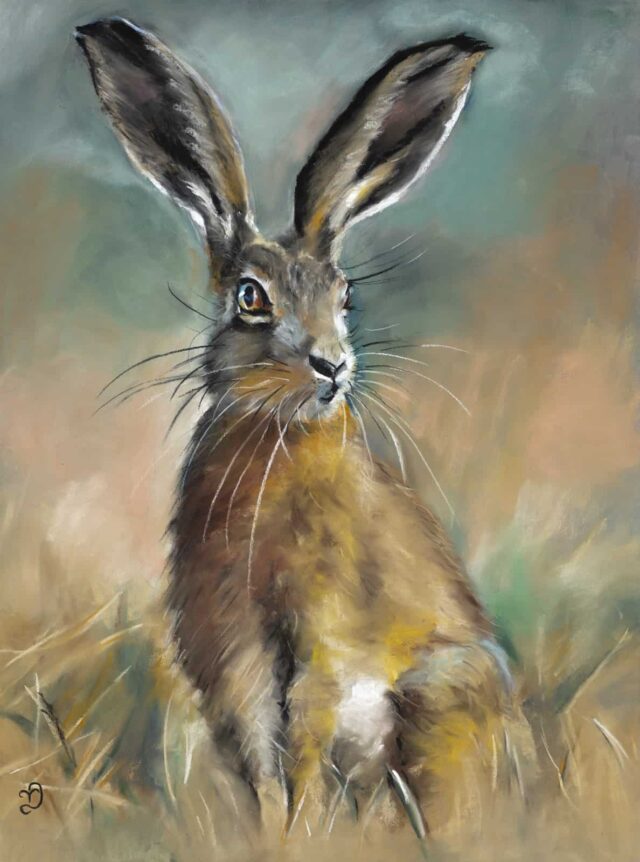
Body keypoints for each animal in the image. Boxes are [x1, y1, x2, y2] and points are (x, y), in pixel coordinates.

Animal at [76, 17, 535, 841]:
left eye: (345, 295)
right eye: (250, 299)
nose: (333, 365)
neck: (277, 438)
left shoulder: (325, 638)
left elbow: (307, 733)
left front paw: (300, 829)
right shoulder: (232, 647)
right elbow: (261, 747)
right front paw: (274, 832)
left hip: (439, 699)